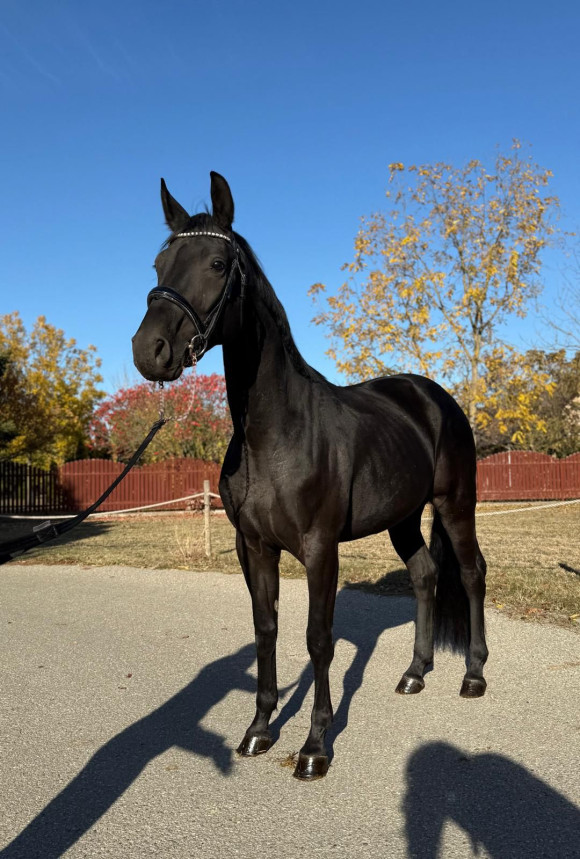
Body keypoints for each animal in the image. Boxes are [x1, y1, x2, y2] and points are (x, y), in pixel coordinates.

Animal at [132, 172, 488, 781]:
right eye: (159, 264)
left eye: (217, 264)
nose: (148, 351)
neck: (274, 436)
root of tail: (433, 396)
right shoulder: (254, 547)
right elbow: (266, 630)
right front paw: (259, 730)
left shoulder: (321, 548)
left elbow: (318, 639)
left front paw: (315, 747)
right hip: (402, 518)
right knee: (424, 574)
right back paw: (414, 674)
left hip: (455, 504)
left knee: (469, 574)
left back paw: (473, 675)